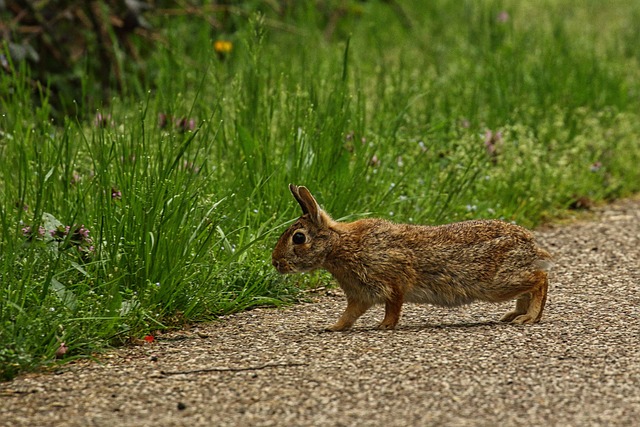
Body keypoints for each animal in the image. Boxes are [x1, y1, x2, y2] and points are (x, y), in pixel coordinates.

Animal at [270, 185, 552, 332]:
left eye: (298, 238)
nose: (275, 262)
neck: (339, 246)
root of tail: (530, 244)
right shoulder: (360, 295)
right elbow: (350, 314)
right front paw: (333, 327)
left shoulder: (393, 279)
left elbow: (393, 306)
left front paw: (384, 326)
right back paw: (515, 314)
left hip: (495, 283)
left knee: (540, 279)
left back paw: (529, 317)